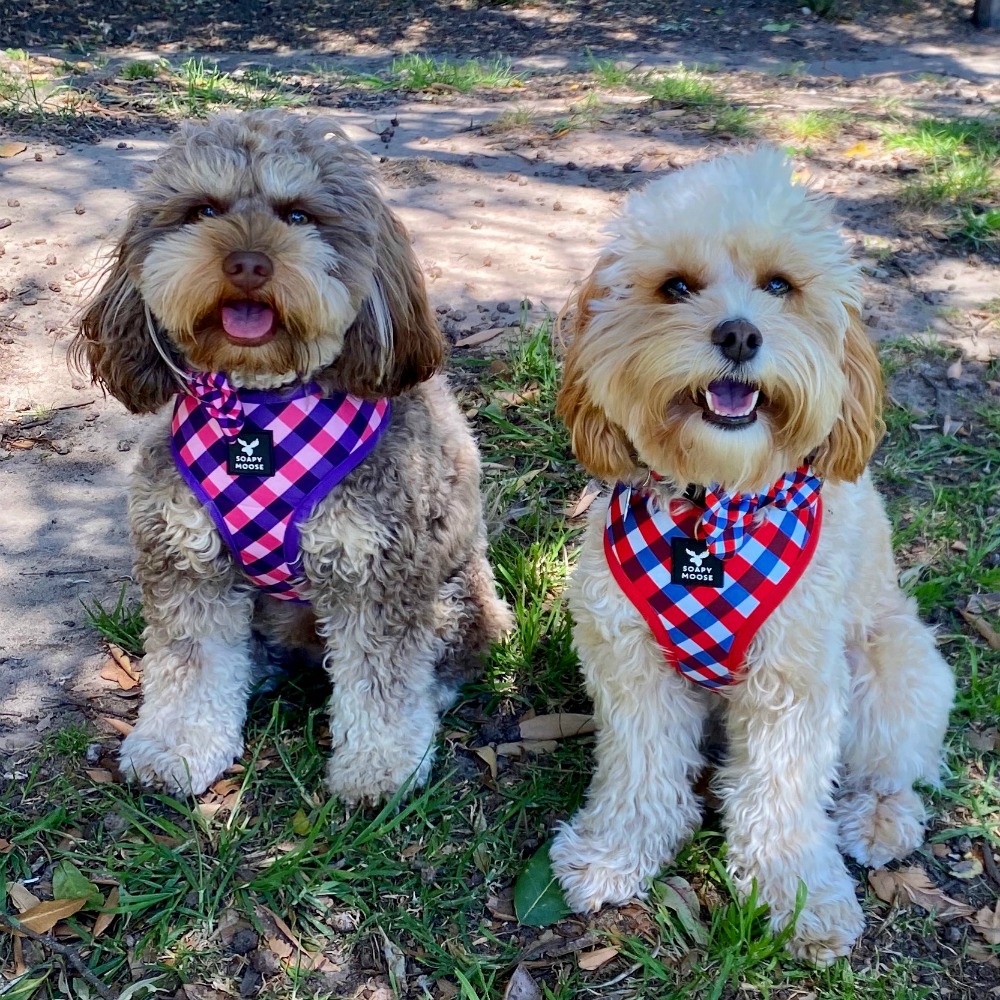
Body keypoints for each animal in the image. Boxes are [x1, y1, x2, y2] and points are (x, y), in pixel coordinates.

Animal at [72, 113, 508, 804]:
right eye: (203, 210)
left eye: (300, 214)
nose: (248, 263)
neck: (259, 411)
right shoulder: (187, 560)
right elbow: (191, 666)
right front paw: (176, 749)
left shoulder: (379, 571)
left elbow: (383, 685)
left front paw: (381, 769)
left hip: (456, 591)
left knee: (445, 657)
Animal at [552, 146, 956, 960]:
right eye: (676, 286)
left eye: (780, 286)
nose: (739, 335)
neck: (713, 508)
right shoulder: (630, 661)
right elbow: (639, 769)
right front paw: (616, 852)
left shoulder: (794, 679)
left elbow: (784, 794)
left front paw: (800, 895)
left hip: (893, 672)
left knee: (893, 770)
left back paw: (879, 819)